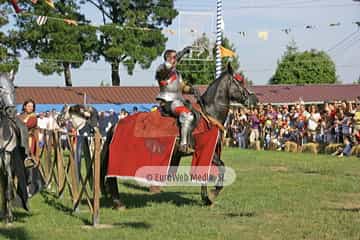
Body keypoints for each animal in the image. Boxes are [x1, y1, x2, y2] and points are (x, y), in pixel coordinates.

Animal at [101, 64, 258, 208]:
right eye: (239, 83)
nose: (254, 99)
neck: (210, 113)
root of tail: (116, 125)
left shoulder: (207, 153)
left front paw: (206, 198)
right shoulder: (207, 151)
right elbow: (222, 167)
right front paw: (212, 194)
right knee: (112, 176)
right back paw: (118, 202)